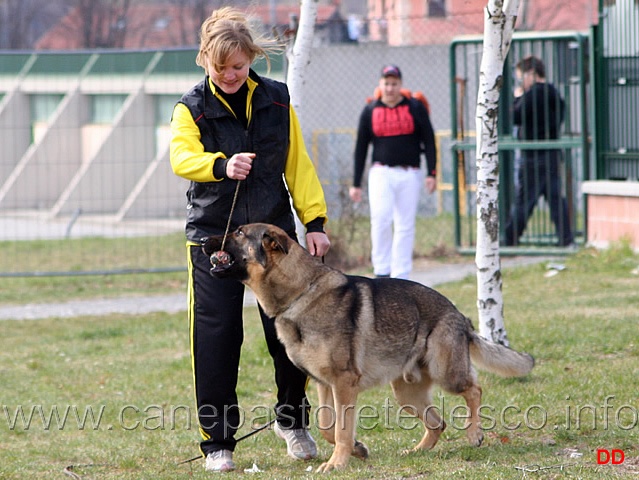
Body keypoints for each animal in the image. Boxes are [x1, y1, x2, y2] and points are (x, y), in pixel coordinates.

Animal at [204, 223, 536, 470]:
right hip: (406, 394)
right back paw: (418, 451)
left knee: (474, 390)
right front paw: (356, 449)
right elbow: (327, 427)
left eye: (239, 232)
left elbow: (340, 429)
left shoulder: (343, 384)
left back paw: (474, 433)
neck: (300, 293)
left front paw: (337, 463)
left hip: (446, 374)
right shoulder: (326, 385)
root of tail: (459, 315)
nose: (203, 240)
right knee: (437, 423)